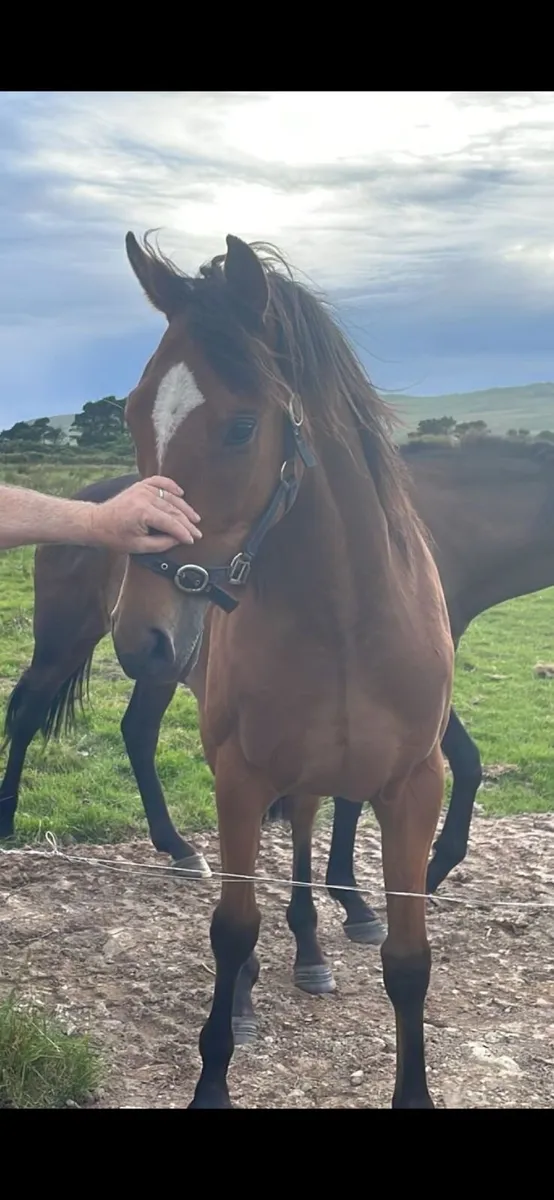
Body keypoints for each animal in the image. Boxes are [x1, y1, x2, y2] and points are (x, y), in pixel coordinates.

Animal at [107, 229, 453, 1109]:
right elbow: (232, 928)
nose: (139, 638)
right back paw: (255, 987)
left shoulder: (414, 787)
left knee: (299, 833)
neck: (345, 619)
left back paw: (310, 951)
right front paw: (213, 1077)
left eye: (239, 428)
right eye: (133, 412)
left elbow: (409, 959)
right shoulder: (239, 774)